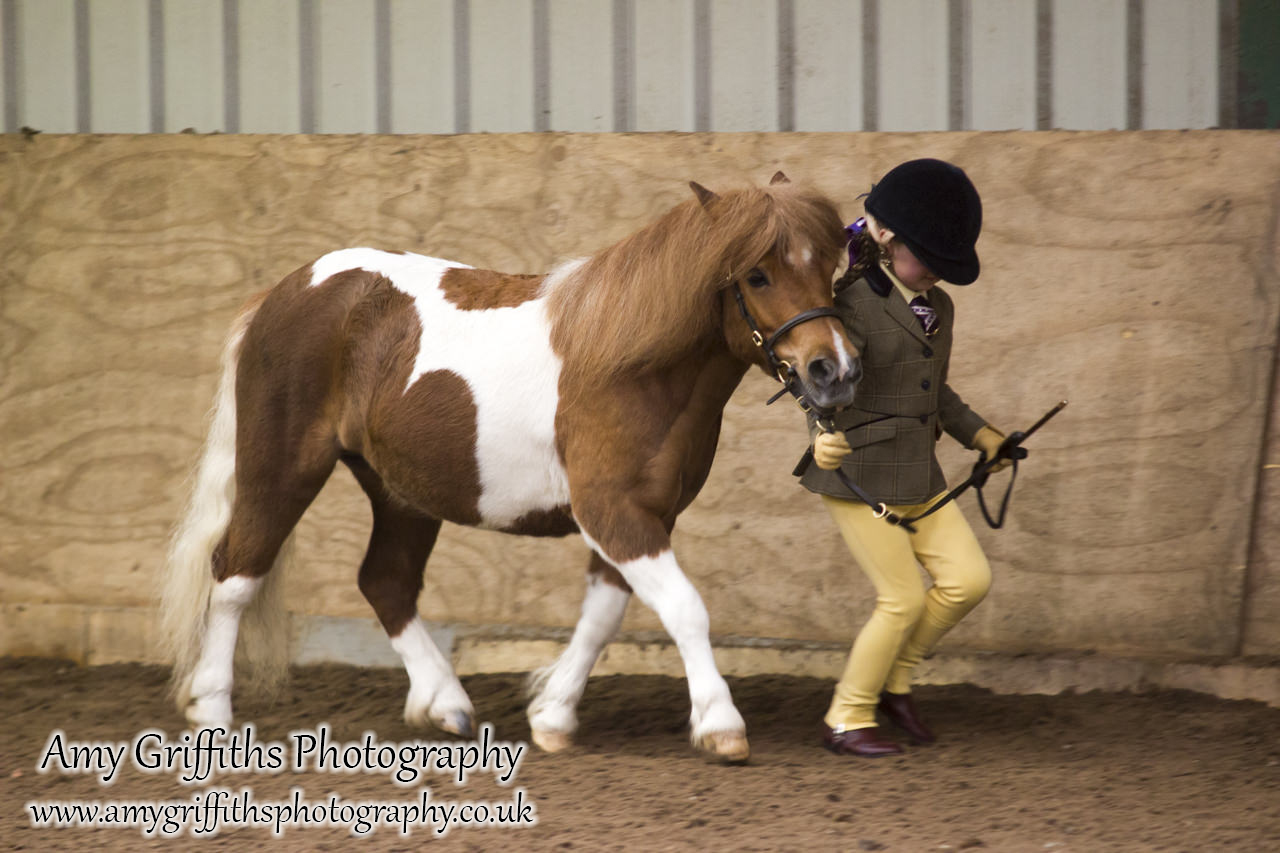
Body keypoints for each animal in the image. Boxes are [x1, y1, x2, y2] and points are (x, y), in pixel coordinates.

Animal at [160, 171, 860, 758]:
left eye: (829, 266)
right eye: (758, 275)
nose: (836, 370)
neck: (631, 366)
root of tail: (283, 292)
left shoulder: (640, 518)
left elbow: (602, 618)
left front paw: (552, 717)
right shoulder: (614, 514)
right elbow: (685, 608)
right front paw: (719, 723)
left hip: (399, 491)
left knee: (384, 581)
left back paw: (444, 704)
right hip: (281, 469)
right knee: (236, 574)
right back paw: (212, 711)